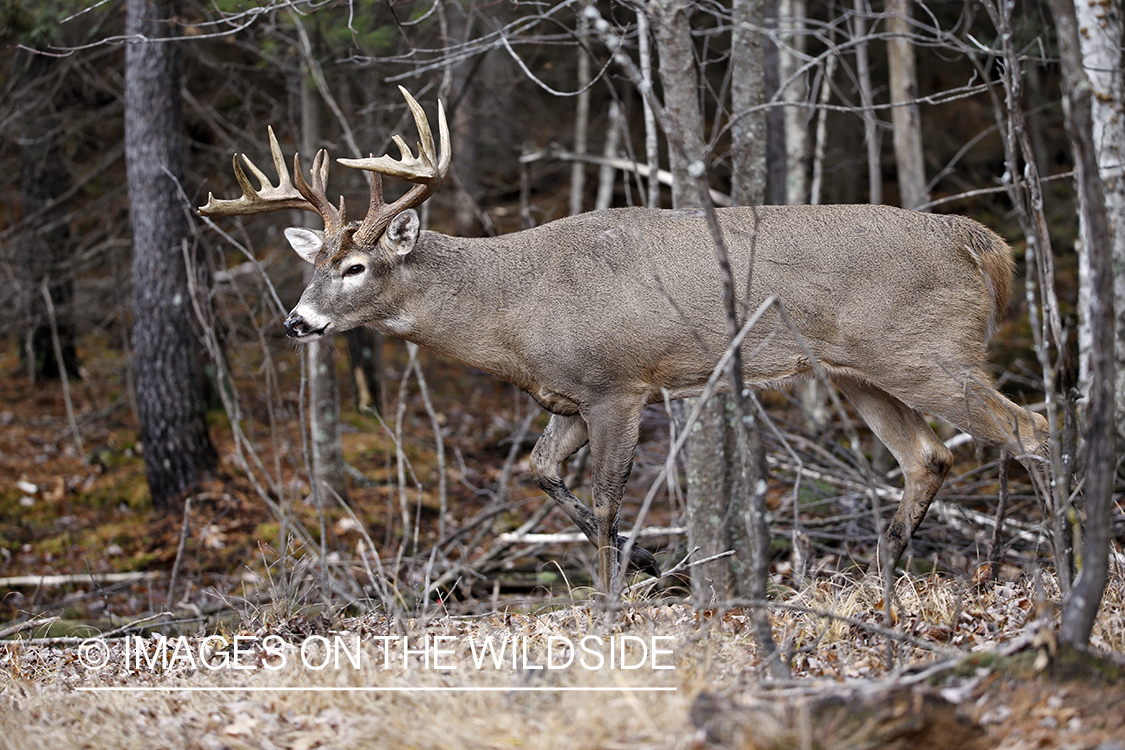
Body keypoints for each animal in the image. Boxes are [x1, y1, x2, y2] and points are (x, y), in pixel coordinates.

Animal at [198, 86, 1048, 593]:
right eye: (313, 265)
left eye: (355, 266)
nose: (296, 322)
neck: (512, 306)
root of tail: (980, 243)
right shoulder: (567, 398)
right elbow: (541, 473)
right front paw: (647, 563)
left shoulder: (620, 383)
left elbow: (607, 502)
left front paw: (616, 596)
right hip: (860, 372)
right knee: (929, 456)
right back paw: (881, 579)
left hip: (926, 351)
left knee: (1028, 427)